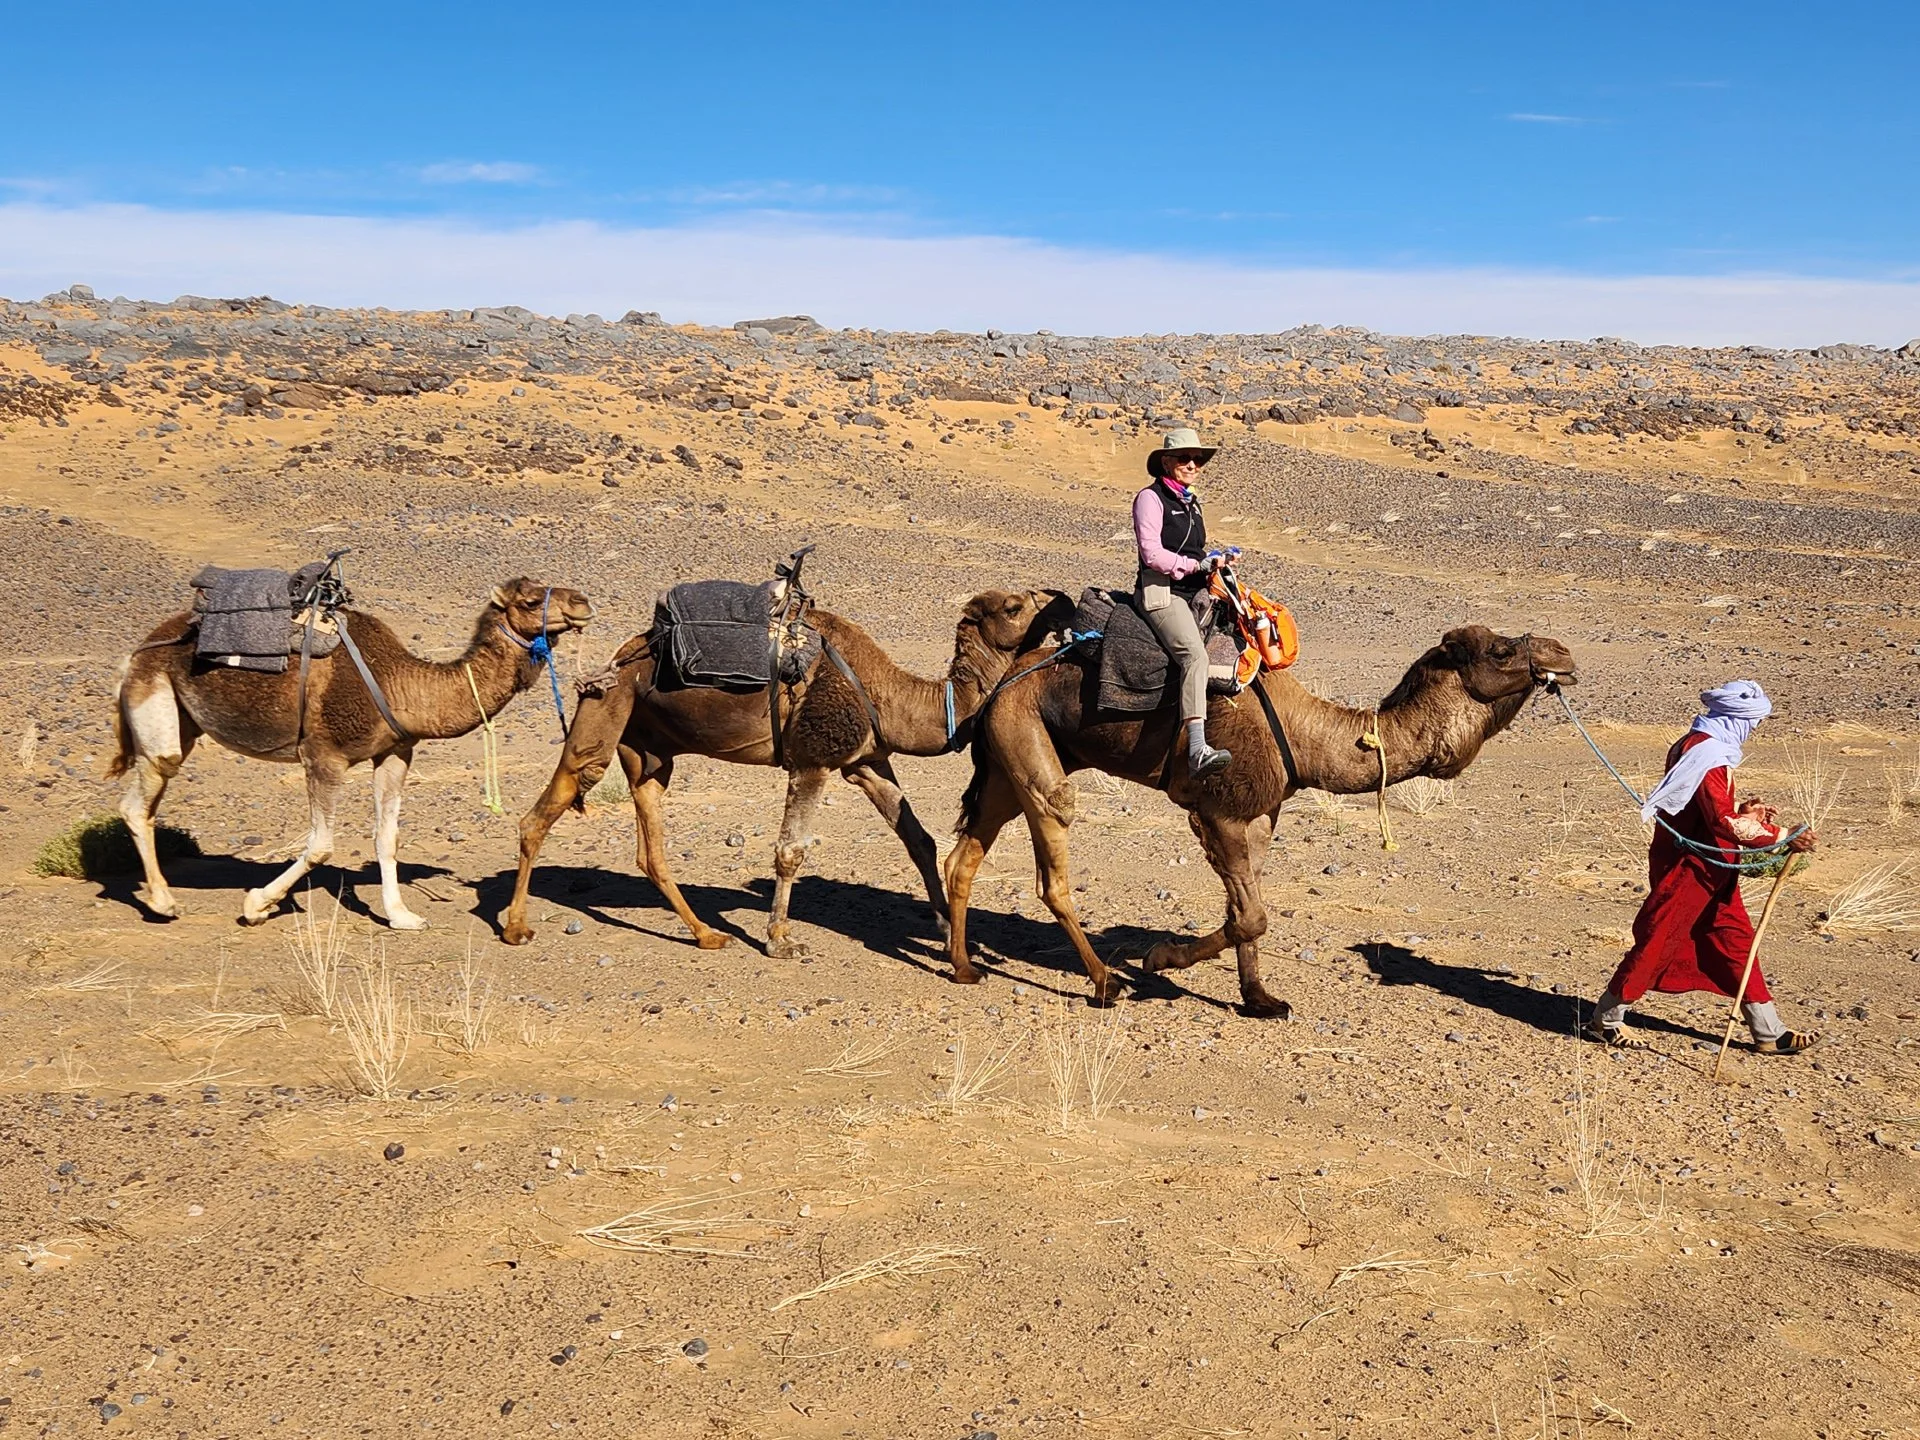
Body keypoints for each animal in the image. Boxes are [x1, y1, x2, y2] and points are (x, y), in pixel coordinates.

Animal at [109, 577, 594, 928]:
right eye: (530, 601)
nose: (583, 601)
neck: (404, 683)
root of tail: (137, 651)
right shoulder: (323, 756)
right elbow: (321, 844)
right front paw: (257, 905)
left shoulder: (396, 753)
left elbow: (387, 836)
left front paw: (402, 916)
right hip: (154, 696)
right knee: (140, 797)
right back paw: (163, 902)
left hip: (184, 720)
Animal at [499, 588, 1073, 956]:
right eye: (1015, 606)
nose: (1061, 602)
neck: (893, 694)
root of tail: (619, 657)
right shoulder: (813, 758)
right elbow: (791, 850)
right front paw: (780, 939)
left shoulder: (866, 761)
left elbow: (918, 838)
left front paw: (944, 927)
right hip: (606, 711)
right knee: (547, 807)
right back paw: (516, 928)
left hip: (649, 752)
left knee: (649, 847)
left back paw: (707, 935)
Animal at [944, 624, 1578, 1014]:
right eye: (1500, 651)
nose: (1564, 655)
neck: (1304, 735)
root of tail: (1001, 682)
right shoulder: (1216, 809)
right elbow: (1251, 917)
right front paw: (1160, 959)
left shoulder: (1263, 813)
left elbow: (1244, 908)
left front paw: (1261, 1000)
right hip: (1027, 737)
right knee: (1052, 859)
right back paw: (1104, 982)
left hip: (1010, 758)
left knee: (964, 857)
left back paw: (963, 967)